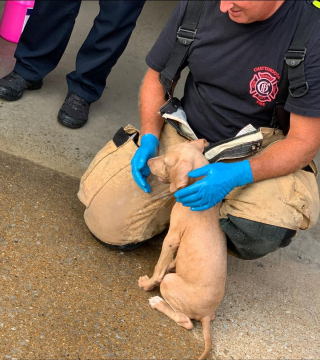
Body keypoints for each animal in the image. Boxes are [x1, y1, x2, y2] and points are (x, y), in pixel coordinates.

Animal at [138, 139, 228, 358]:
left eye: (166, 162)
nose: (149, 161)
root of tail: (206, 315)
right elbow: (172, 261)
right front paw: (172, 264)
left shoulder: (172, 237)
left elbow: (159, 268)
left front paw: (148, 283)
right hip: (209, 313)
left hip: (171, 284)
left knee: (185, 321)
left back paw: (158, 302)